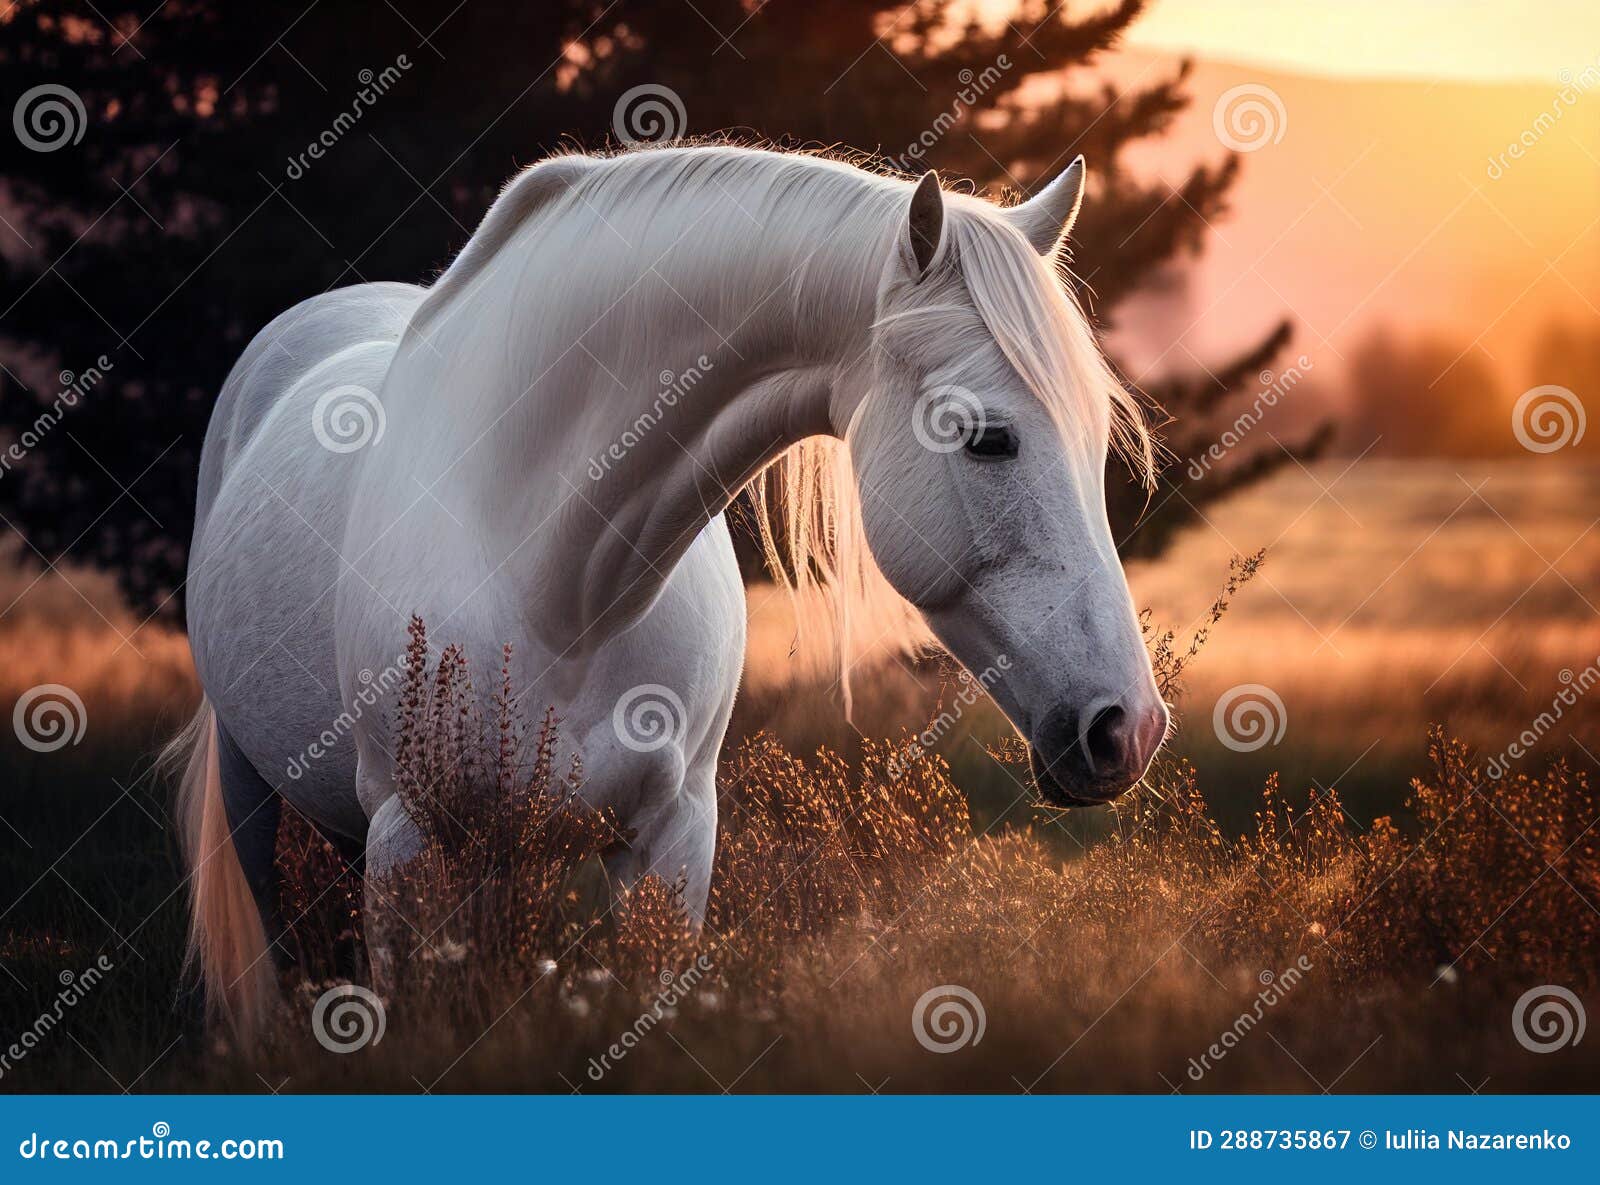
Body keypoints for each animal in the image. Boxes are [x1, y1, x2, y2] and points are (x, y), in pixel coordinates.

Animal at [166, 143, 1170, 1036]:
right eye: (988, 438)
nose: (1129, 726)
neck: (562, 585)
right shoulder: (408, 837)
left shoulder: (672, 839)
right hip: (262, 797)